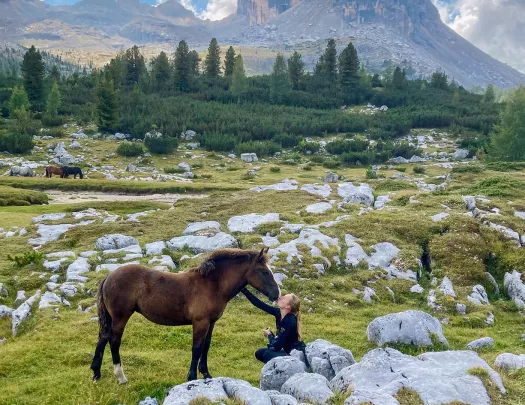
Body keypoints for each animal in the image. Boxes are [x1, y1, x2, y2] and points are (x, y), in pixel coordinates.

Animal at [90, 245, 278, 384]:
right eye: (264, 271)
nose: (277, 294)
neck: (211, 285)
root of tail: (108, 276)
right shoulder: (200, 322)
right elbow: (196, 348)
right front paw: (192, 377)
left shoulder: (211, 322)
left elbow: (206, 347)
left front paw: (206, 374)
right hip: (120, 317)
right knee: (114, 341)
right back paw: (121, 376)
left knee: (103, 338)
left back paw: (96, 373)